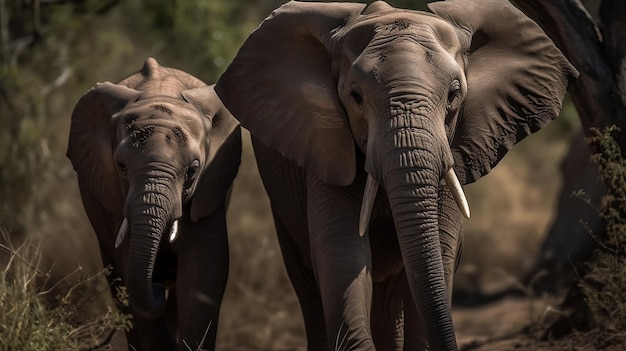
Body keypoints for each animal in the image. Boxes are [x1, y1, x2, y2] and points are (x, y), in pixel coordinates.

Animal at [67, 56, 240, 350]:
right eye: (121, 167)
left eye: (193, 171)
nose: (157, 287)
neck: (161, 95)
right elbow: (129, 266)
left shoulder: (209, 188)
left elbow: (204, 270)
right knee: (118, 283)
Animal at [214, 0, 576, 351]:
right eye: (355, 97)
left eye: (454, 95)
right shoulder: (326, 151)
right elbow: (341, 252)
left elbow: (440, 249)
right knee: (307, 281)